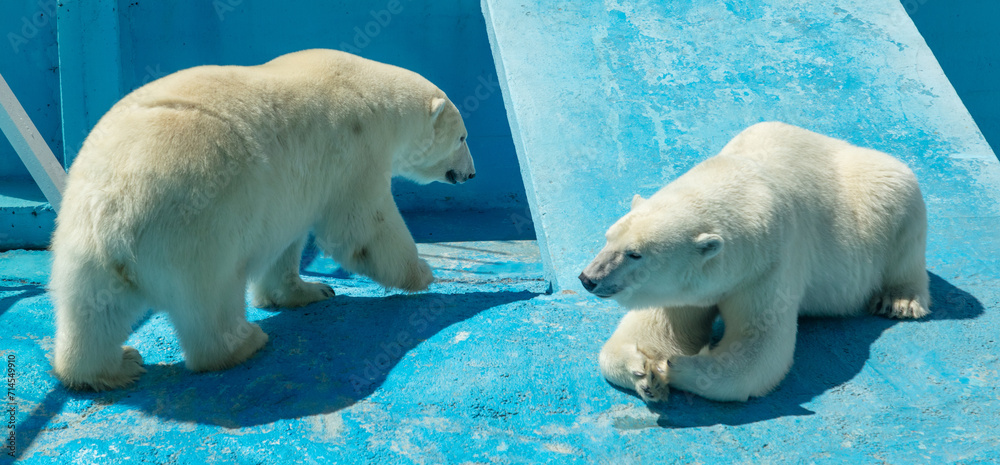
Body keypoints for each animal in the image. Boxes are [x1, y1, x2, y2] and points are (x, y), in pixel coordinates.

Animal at [48, 49, 478, 390]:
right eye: (462, 138)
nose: (472, 174)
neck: (371, 93)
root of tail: (115, 209)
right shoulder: (354, 151)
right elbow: (361, 227)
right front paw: (422, 272)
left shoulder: (288, 194)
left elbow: (285, 244)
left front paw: (309, 290)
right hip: (196, 229)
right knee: (211, 298)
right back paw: (243, 342)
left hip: (81, 241)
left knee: (90, 311)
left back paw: (113, 366)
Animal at [580, 122, 928, 402]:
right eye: (609, 238)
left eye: (635, 254)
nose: (588, 278)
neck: (747, 184)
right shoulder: (689, 287)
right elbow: (658, 328)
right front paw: (644, 372)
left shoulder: (769, 263)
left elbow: (757, 349)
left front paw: (673, 366)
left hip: (879, 200)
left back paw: (900, 301)